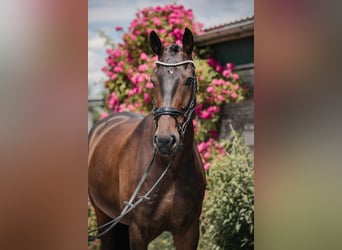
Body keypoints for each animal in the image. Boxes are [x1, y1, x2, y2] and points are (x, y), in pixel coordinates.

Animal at [88, 28, 206, 249]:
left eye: (188, 80)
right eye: (153, 81)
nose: (165, 141)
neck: (168, 169)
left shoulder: (188, 231)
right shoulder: (138, 232)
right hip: (103, 216)